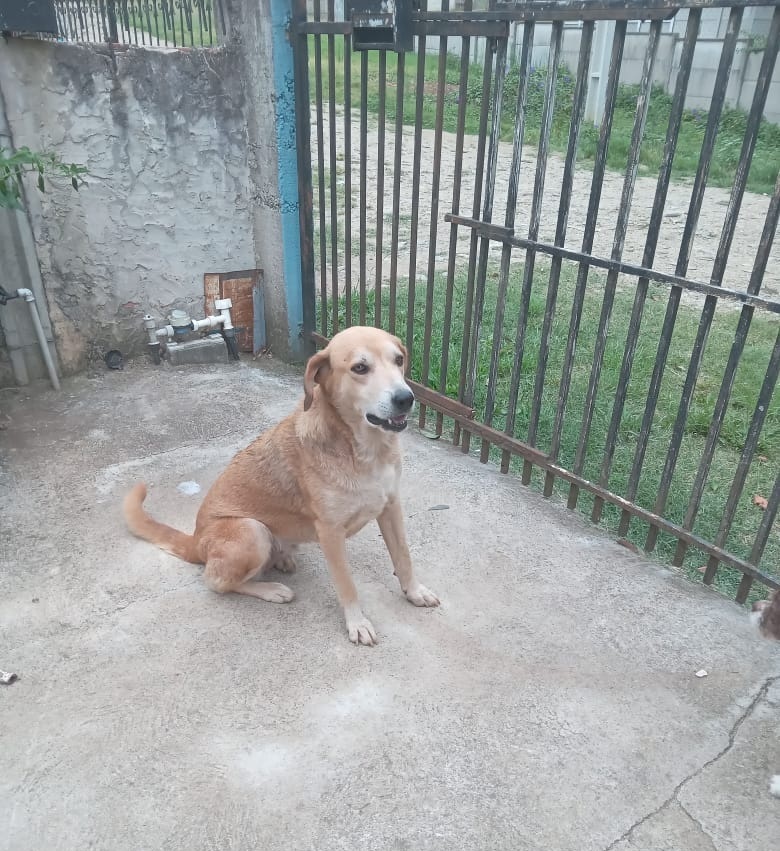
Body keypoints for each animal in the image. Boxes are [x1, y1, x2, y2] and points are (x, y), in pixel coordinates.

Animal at [124, 325, 440, 645]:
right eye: (360, 368)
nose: (405, 398)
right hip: (251, 530)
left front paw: (414, 592)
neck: (363, 450)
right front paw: (357, 623)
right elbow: (347, 585)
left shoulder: (391, 507)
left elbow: (403, 557)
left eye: (398, 360)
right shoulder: (331, 532)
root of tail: (196, 540)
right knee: (215, 581)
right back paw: (271, 589)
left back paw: (283, 559)